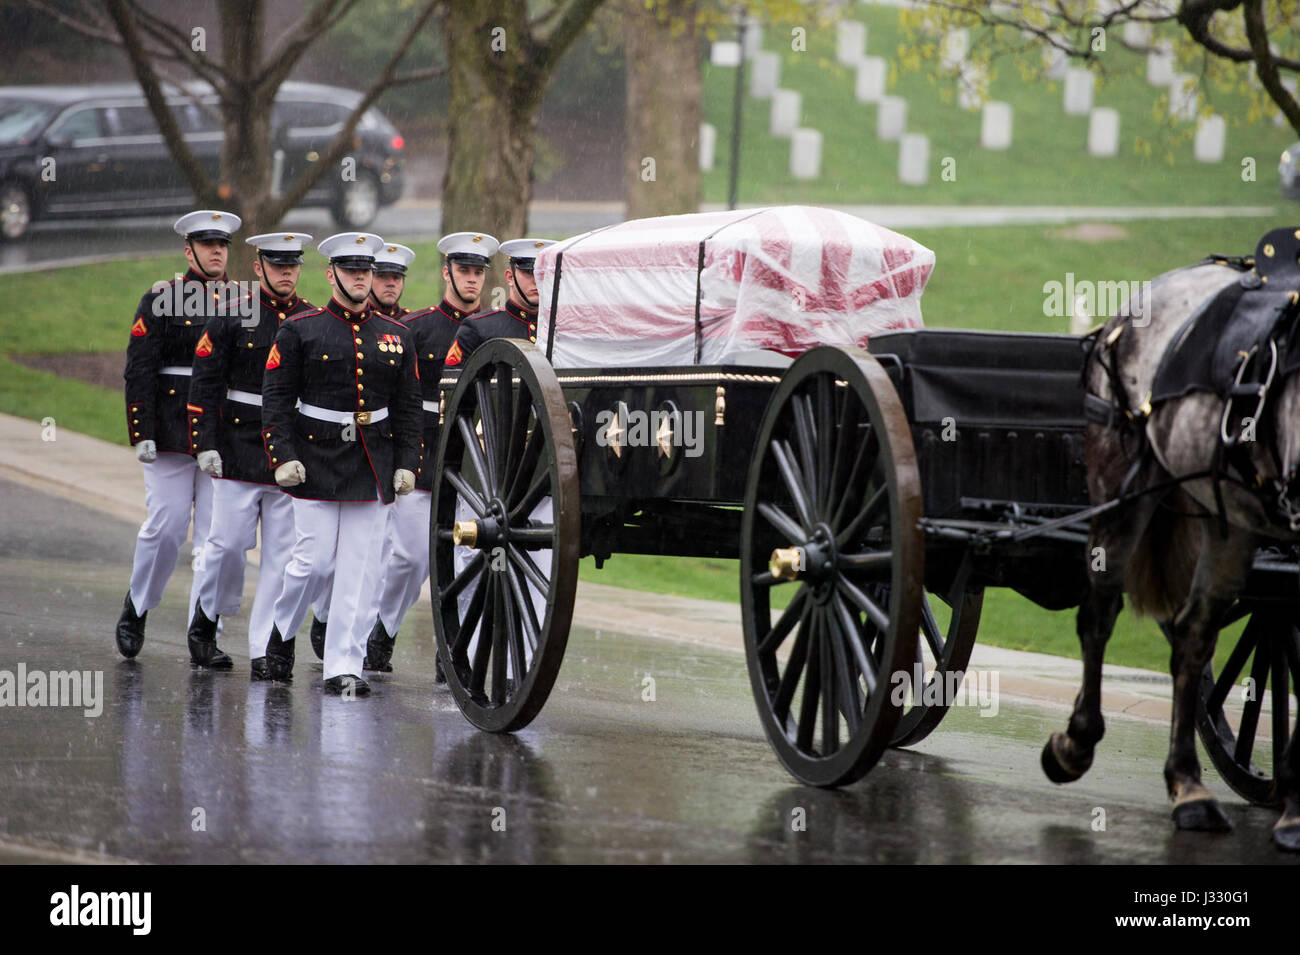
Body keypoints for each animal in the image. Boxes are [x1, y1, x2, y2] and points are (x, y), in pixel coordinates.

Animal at [1034, 242, 1300, 857]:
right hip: (1124, 488)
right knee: (1101, 612)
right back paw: (1079, 747)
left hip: (1226, 516)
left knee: (1192, 636)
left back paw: (1189, 787)